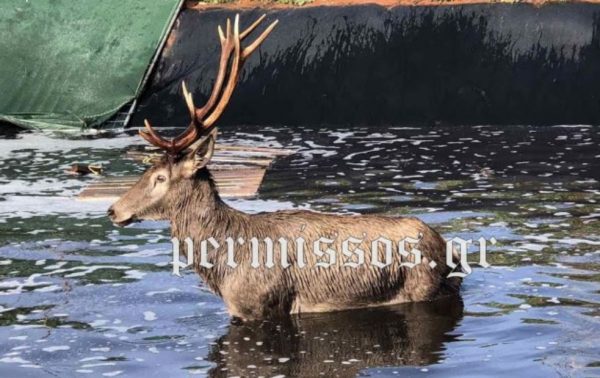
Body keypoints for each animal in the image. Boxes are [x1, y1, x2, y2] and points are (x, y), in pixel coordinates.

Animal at [108, 15, 462, 322]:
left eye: (160, 177)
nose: (114, 210)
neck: (224, 268)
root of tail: (449, 250)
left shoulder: (261, 306)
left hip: (424, 287)